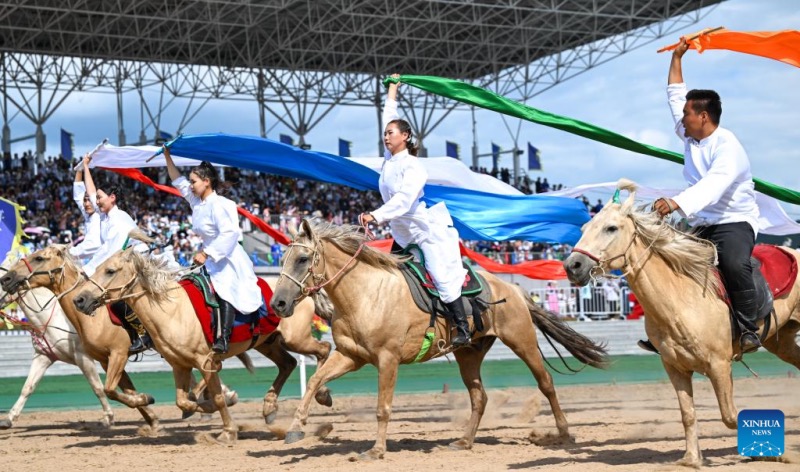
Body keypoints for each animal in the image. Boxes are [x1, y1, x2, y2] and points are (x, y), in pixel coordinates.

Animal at [0, 256, 114, 430]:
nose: (5, 281)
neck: (53, 319)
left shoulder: (83, 357)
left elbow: (98, 388)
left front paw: (108, 417)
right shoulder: (43, 356)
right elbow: (27, 387)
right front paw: (9, 418)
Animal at [69, 245, 332, 444]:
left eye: (110, 270)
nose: (79, 299)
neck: (172, 311)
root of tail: (303, 290)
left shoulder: (204, 361)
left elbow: (215, 397)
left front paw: (228, 430)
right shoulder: (179, 365)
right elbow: (183, 400)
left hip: (295, 338)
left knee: (324, 350)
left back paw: (321, 393)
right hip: (266, 343)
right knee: (288, 363)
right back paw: (270, 408)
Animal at [268, 219, 608, 460]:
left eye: (302, 259)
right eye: (283, 259)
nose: (279, 304)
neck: (367, 293)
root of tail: (512, 288)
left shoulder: (387, 359)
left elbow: (382, 407)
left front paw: (376, 450)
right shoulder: (351, 356)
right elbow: (314, 381)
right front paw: (297, 427)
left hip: (522, 341)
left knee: (546, 382)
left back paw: (564, 433)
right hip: (469, 354)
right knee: (479, 397)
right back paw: (464, 441)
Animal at [564, 178, 800, 468]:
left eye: (611, 228)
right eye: (584, 228)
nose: (573, 265)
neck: (681, 300)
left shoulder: (719, 365)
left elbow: (730, 416)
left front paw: (778, 452)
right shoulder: (675, 367)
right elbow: (688, 414)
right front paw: (691, 459)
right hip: (783, 343)